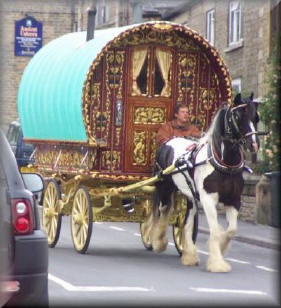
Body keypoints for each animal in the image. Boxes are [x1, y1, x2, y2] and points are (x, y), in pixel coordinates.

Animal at [151, 93, 260, 272]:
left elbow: (231, 230)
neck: (225, 164)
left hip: (191, 196)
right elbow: (215, 230)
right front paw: (217, 263)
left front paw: (221, 248)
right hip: (165, 188)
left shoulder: (234, 200)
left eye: (256, 117)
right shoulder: (208, 198)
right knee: (163, 211)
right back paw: (158, 241)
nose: (255, 144)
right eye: (237, 116)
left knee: (187, 223)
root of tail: (168, 141)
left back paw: (189, 255)